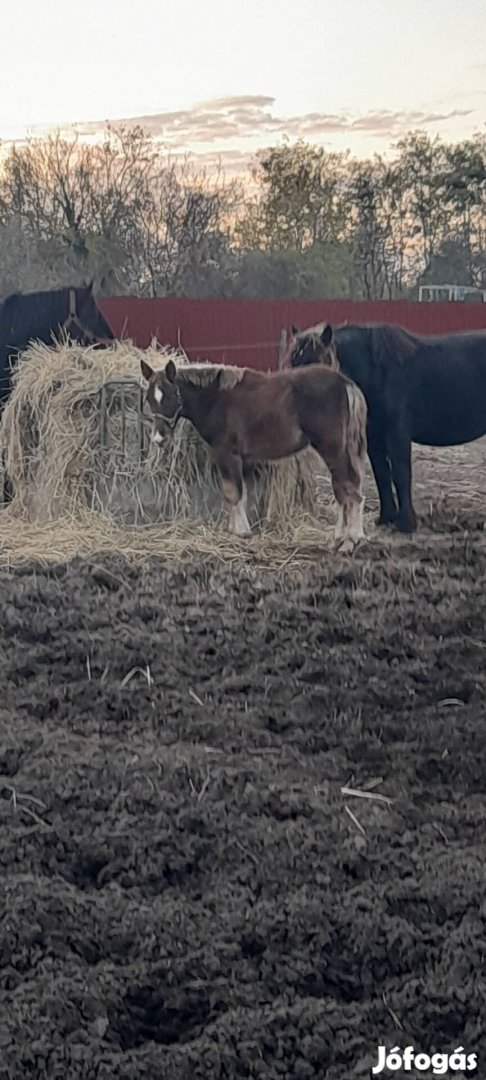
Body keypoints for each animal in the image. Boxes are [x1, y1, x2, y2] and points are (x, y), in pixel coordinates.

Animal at [287, 317, 486, 533]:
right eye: (293, 363)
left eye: (318, 365)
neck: (377, 371)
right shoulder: (373, 435)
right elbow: (382, 474)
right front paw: (387, 517)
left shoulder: (397, 433)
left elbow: (401, 474)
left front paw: (406, 523)